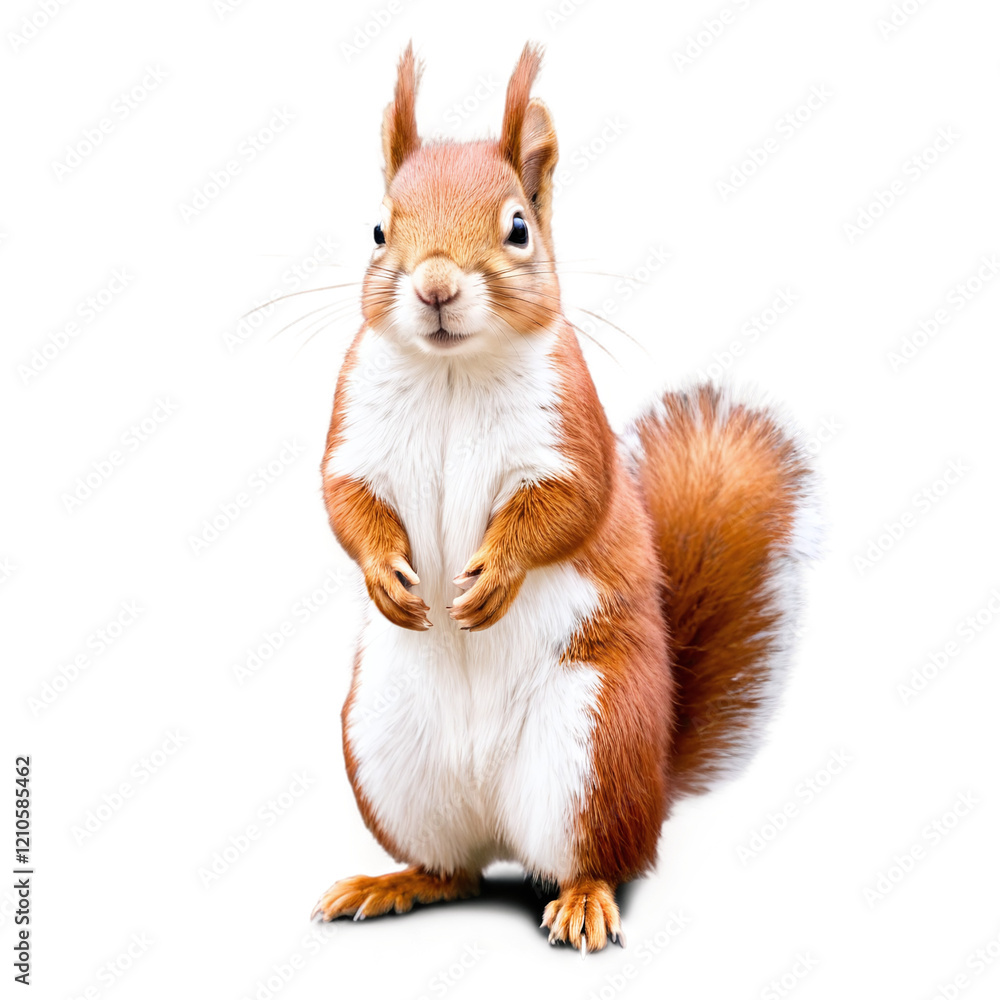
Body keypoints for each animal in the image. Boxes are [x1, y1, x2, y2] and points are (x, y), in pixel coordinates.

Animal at [310, 42, 819, 951]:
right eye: (377, 228)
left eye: (518, 227)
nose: (435, 287)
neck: (452, 371)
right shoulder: (353, 429)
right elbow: (344, 500)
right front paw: (385, 576)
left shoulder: (572, 430)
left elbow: (565, 508)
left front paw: (495, 578)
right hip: (383, 747)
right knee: (453, 868)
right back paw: (393, 881)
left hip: (593, 741)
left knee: (603, 856)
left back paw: (582, 900)